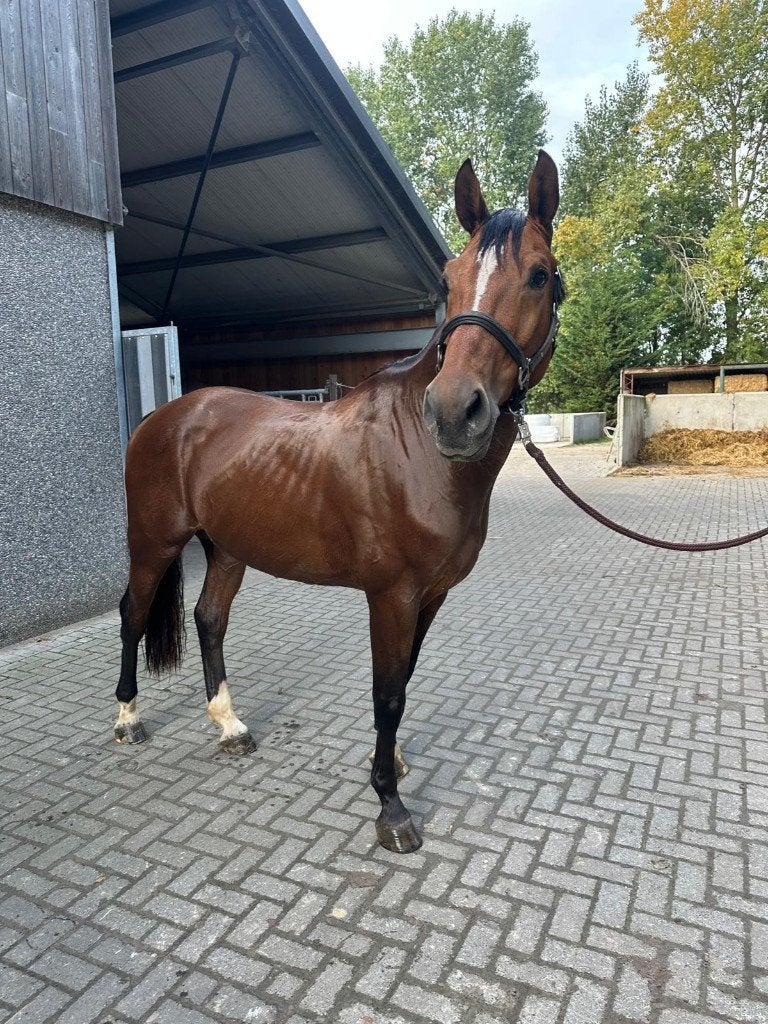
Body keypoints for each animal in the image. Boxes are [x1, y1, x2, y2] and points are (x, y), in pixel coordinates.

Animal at [115, 151, 563, 854]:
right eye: (449, 280)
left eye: (540, 276)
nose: (454, 412)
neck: (419, 454)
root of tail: (163, 419)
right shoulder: (392, 594)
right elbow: (387, 694)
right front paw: (390, 806)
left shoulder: (430, 594)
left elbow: (404, 680)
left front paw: (395, 766)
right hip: (154, 542)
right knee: (132, 613)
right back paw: (128, 718)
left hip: (229, 548)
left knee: (209, 619)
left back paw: (230, 726)